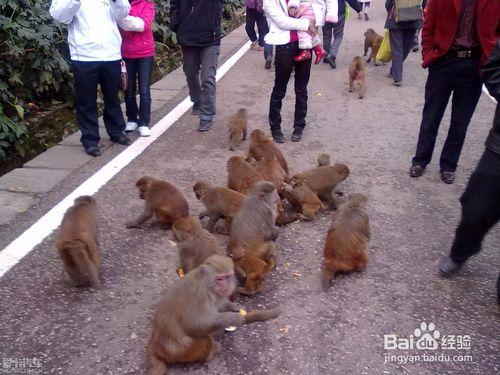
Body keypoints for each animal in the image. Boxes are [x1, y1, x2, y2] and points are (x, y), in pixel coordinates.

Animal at [146, 254, 282, 374]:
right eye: (219, 279)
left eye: (227, 277)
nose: (226, 287)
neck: (208, 286)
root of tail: (155, 344)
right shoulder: (200, 295)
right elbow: (192, 323)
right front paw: (232, 318)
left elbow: (219, 305)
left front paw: (234, 307)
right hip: (182, 352)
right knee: (202, 336)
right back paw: (210, 353)